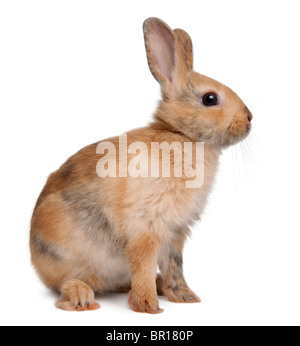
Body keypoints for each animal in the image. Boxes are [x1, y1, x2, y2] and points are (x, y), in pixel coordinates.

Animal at [29, 18, 251, 314]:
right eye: (210, 99)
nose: (249, 118)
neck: (181, 136)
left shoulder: (174, 234)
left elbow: (174, 267)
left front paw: (185, 297)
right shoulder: (147, 229)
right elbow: (144, 264)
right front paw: (148, 306)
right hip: (67, 255)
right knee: (67, 282)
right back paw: (82, 298)